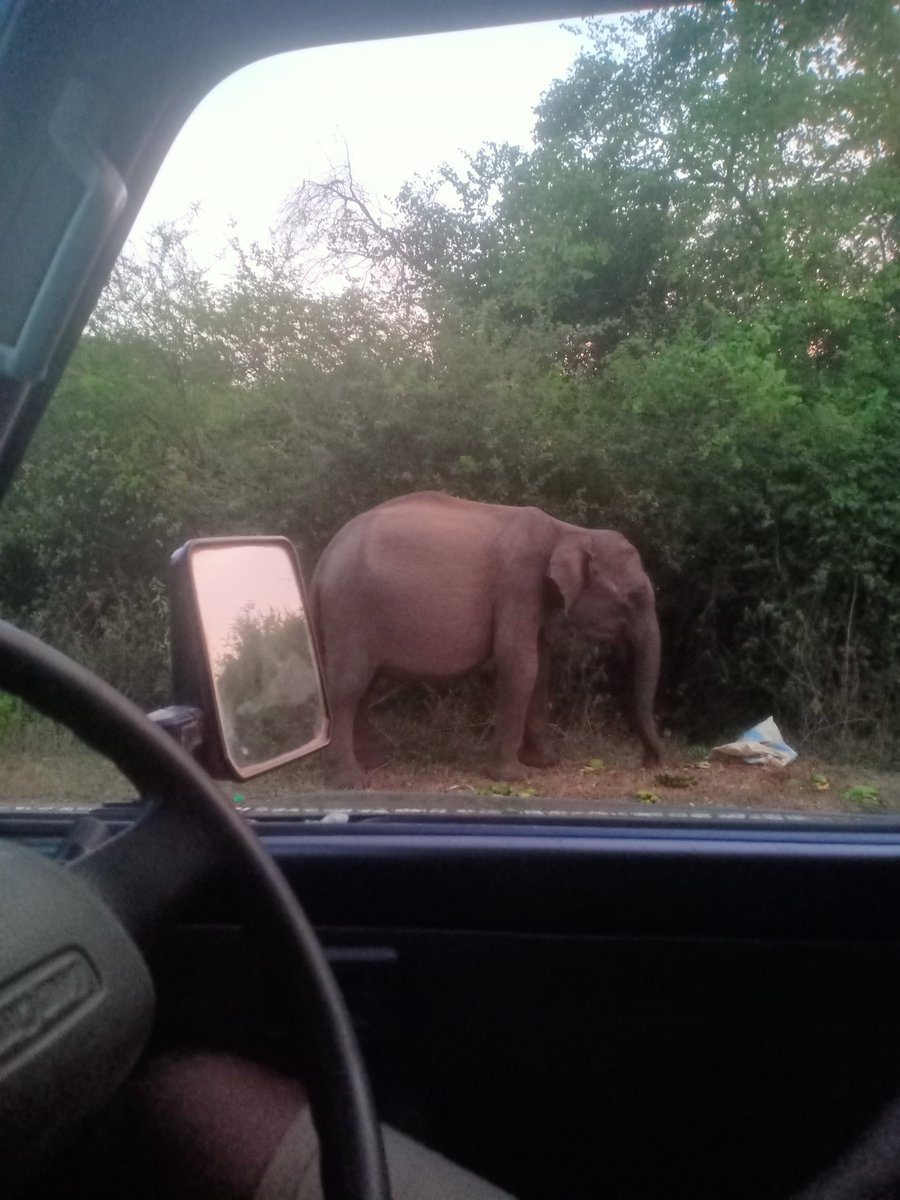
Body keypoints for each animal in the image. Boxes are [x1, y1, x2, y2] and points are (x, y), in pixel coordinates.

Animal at [310, 491, 663, 789]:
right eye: (633, 597)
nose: (651, 762)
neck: (568, 531)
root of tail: (323, 560)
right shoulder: (518, 583)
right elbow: (520, 664)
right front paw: (514, 777)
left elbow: (541, 666)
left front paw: (546, 762)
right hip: (350, 608)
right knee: (349, 686)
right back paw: (351, 780)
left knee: (365, 685)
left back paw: (374, 762)